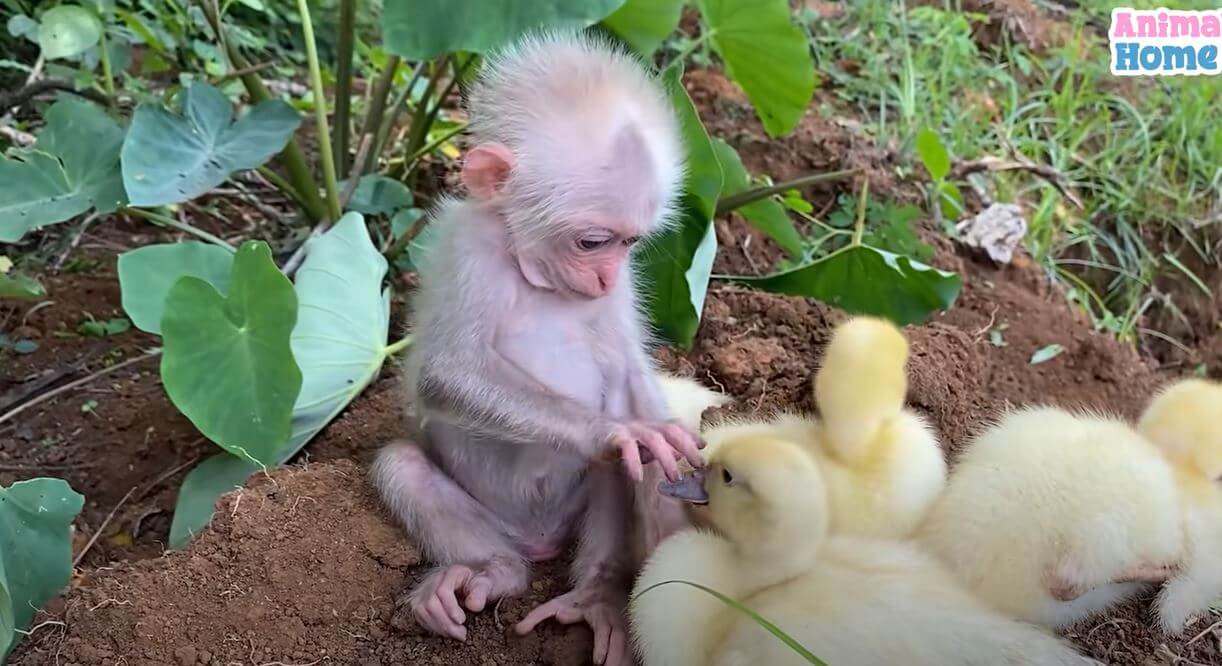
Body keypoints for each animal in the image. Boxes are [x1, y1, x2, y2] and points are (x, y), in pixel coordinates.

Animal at [366, 28, 703, 659]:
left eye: (630, 244)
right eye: (591, 242)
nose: (606, 279)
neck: (535, 273)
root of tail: (539, 539)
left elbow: (629, 378)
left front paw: (661, 447)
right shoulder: (469, 245)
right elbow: (445, 374)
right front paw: (617, 432)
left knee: (612, 466)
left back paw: (596, 594)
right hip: (491, 517)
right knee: (402, 467)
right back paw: (493, 572)